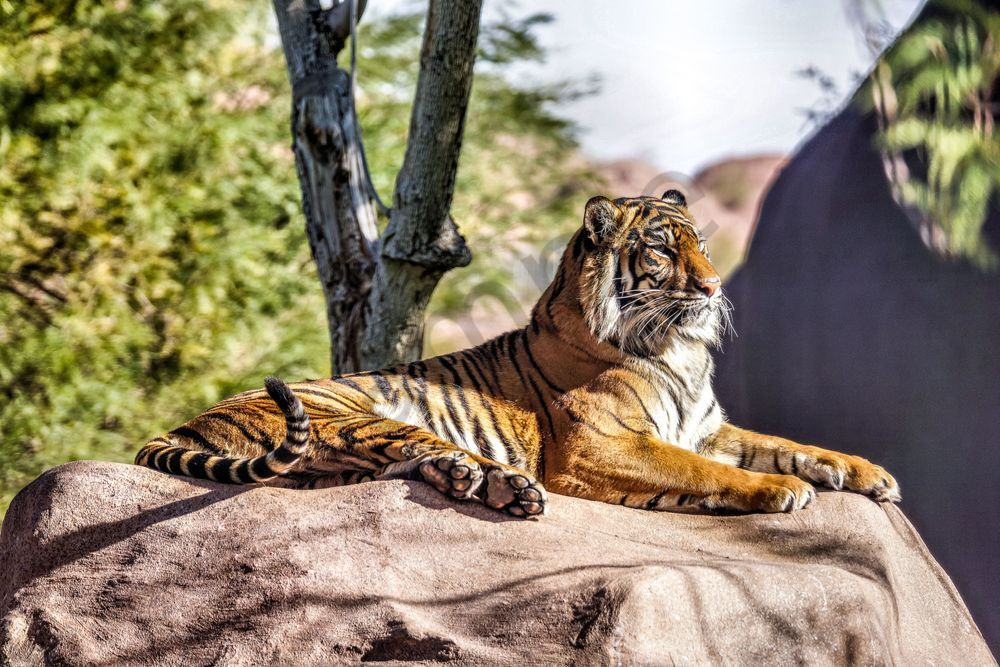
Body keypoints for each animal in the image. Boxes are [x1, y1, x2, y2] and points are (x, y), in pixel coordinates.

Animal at [136, 190, 901, 517]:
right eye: (661, 249)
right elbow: (709, 471)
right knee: (423, 452)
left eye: (703, 245)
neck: (678, 350)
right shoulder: (602, 443)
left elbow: (789, 443)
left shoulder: (709, 427)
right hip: (352, 413)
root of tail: (182, 424)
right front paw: (778, 491)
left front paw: (870, 474)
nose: (714, 287)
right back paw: (506, 487)